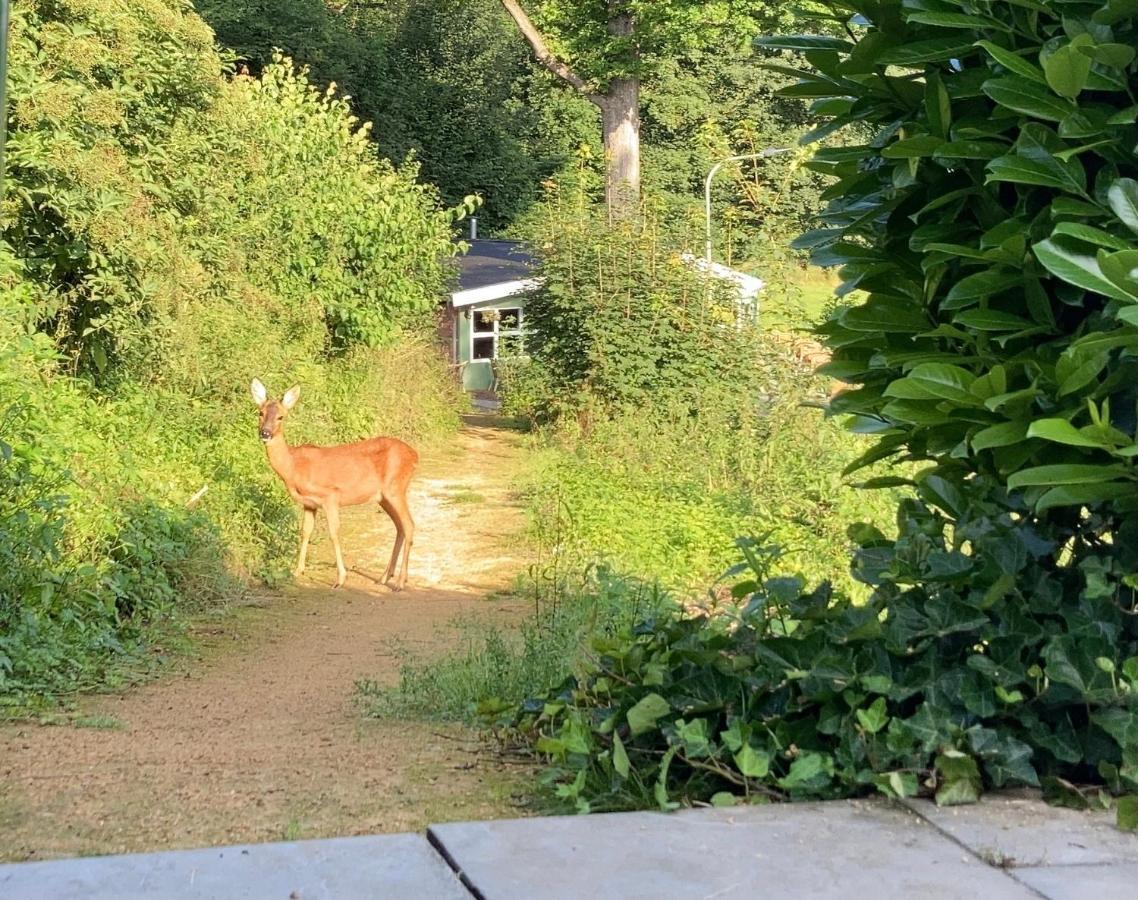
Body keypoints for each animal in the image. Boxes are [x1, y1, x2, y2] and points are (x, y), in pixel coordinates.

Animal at [249, 377, 418, 591]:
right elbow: (305, 532)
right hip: (384, 497)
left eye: (281, 417)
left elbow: (334, 533)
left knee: (409, 525)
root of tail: (414, 455)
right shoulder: (309, 504)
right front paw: (297, 571)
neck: (294, 466)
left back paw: (400, 582)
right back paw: (384, 578)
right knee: (400, 526)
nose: (265, 433)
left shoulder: (330, 496)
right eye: (260, 413)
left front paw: (340, 579)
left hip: (396, 488)